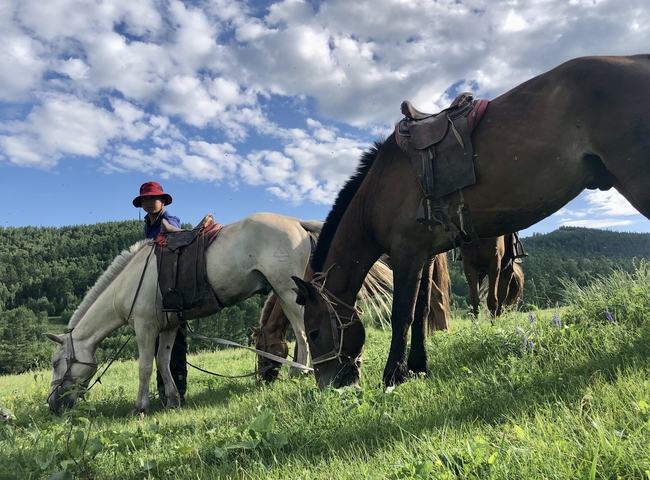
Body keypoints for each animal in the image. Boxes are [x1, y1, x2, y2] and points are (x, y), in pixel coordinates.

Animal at [44, 212, 326, 413]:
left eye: (57, 362)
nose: (53, 404)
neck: (127, 283)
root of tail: (297, 223)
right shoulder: (169, 326)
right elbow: (164, 361)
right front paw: (172, 400)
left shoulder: (145, 328)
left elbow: (145, 366)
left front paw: (141, 408)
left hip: (286, 289)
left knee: (302, 331)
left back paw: (299, 371)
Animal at [292, 55, 650, 390]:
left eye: (315, 331)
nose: (327, 385)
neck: (376, 189)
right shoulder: (424, 254)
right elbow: (421, 312)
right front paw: (418, 366)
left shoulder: (407, 252)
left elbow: (402, 313)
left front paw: (394, 374)